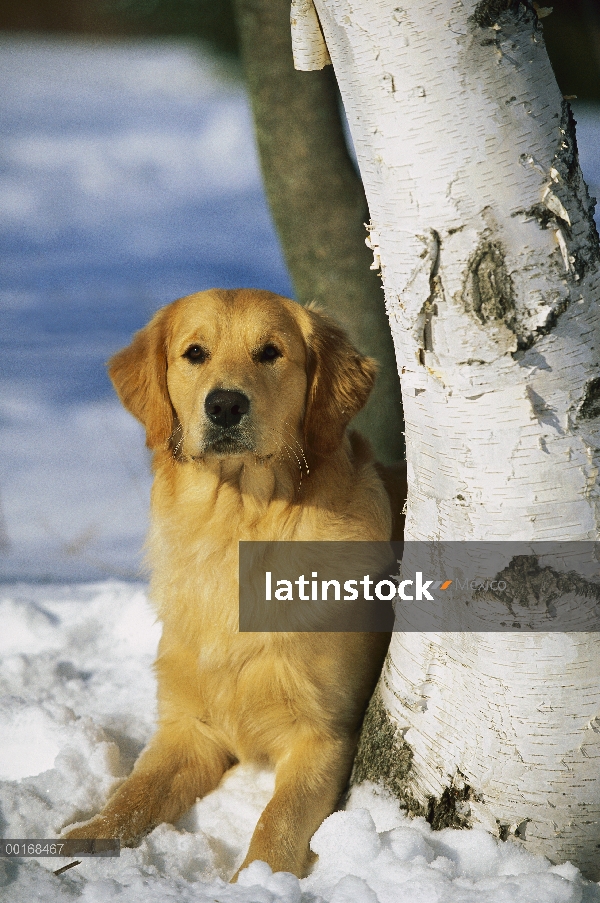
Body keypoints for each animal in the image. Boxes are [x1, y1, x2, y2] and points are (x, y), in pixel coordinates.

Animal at [63, 288, 406, 876]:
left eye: (270, 352)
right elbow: (133, 794)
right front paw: (83, 840)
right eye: (194, 353)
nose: (225, 405)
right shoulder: (188, 728)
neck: (236, 523)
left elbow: (278, 819)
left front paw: (259, 879)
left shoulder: (325, 734)